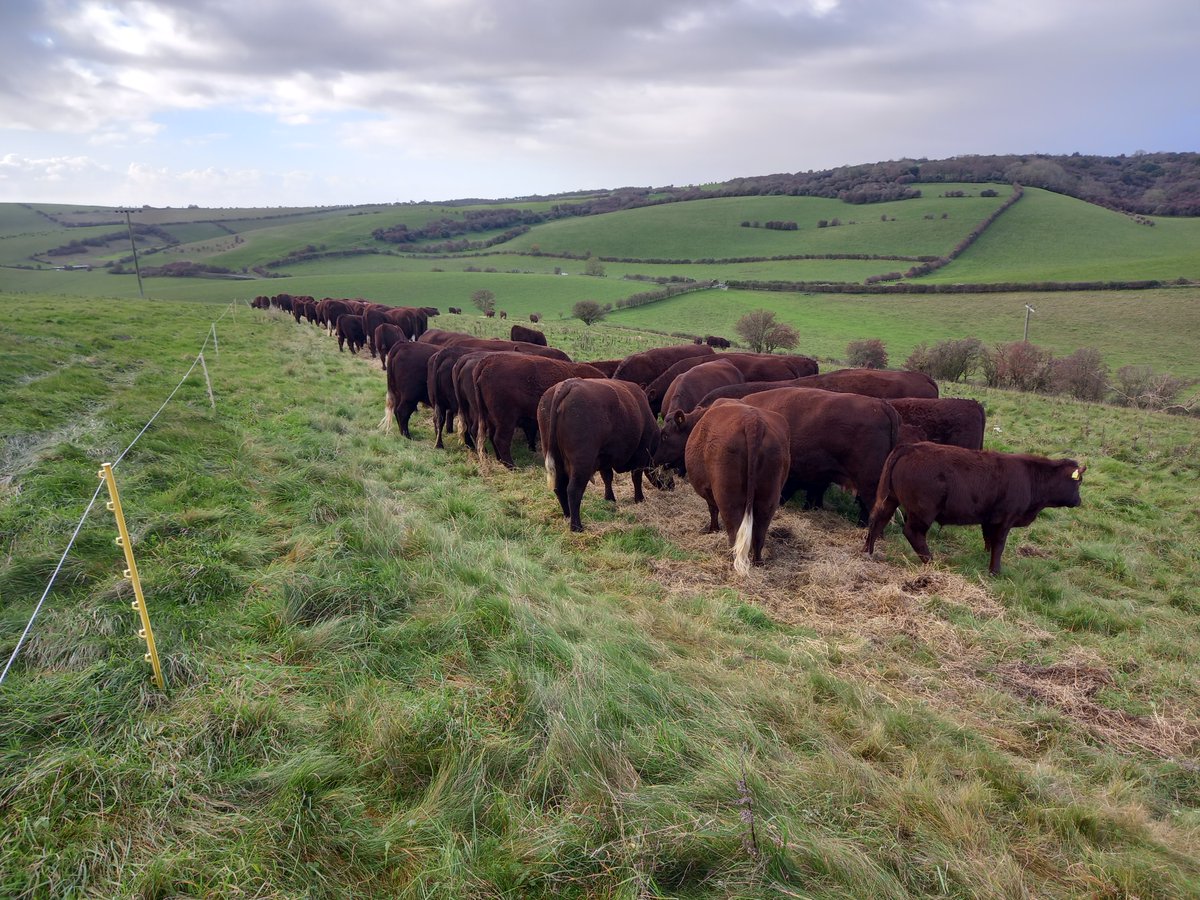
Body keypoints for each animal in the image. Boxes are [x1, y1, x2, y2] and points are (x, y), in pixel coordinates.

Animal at [470, 355, 604, 468]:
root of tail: (488, 360)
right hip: (506, 419)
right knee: (500, 439)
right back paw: (511, 466)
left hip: (491, 418)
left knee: (492, 437)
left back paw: (501, 461)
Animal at [540, 376, 662, 532]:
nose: (672, 485)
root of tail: (568, 384)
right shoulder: (640, 456)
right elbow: (636, 478)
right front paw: (639, 499)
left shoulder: (605, 458)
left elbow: (607, 478)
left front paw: (609, 498)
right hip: (582, 462)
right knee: (573, 490)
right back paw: (576, 526)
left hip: (556, 459)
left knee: (559, 487)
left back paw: (567, 515)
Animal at [681, 400, 792, 578]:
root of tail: (753, 421)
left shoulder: (708, 490)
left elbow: (712, 510)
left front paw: (713, 530)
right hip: (769, 495)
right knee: (760, 530)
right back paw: (758, 562)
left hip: (728, 495)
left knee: (734, 528)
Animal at [864, 444, 1089, 578]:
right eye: (1078, 482)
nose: (1079, 501)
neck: (1030, 477)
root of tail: (910, 447)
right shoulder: (1005, 519)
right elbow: (999, 544)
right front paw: (995, 571)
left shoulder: (989, 519)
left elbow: (988, 539)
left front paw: (985, 557)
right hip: (923, 511)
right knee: (913, 533)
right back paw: (930, 561)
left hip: (890, 499)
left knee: (877, 521)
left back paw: (868, 551)